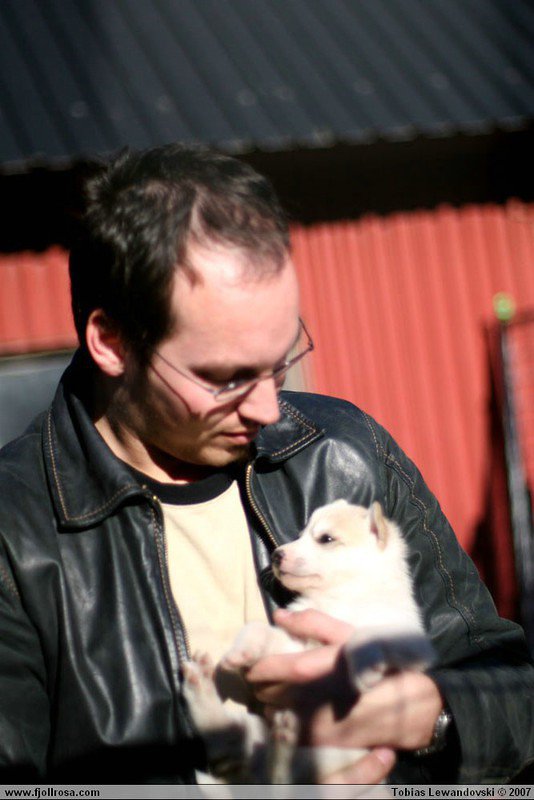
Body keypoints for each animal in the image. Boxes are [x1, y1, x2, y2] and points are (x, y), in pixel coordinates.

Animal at [183, 500, 435, 784]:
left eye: (325, 539)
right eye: (300, 534)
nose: (276, 555)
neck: (337, 599)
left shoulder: (411, 642)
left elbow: (365, 636)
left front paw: (365, 669)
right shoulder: (293, 646)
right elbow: (257, 629)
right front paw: (242, 650)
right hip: (256, 732)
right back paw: (202, 685)